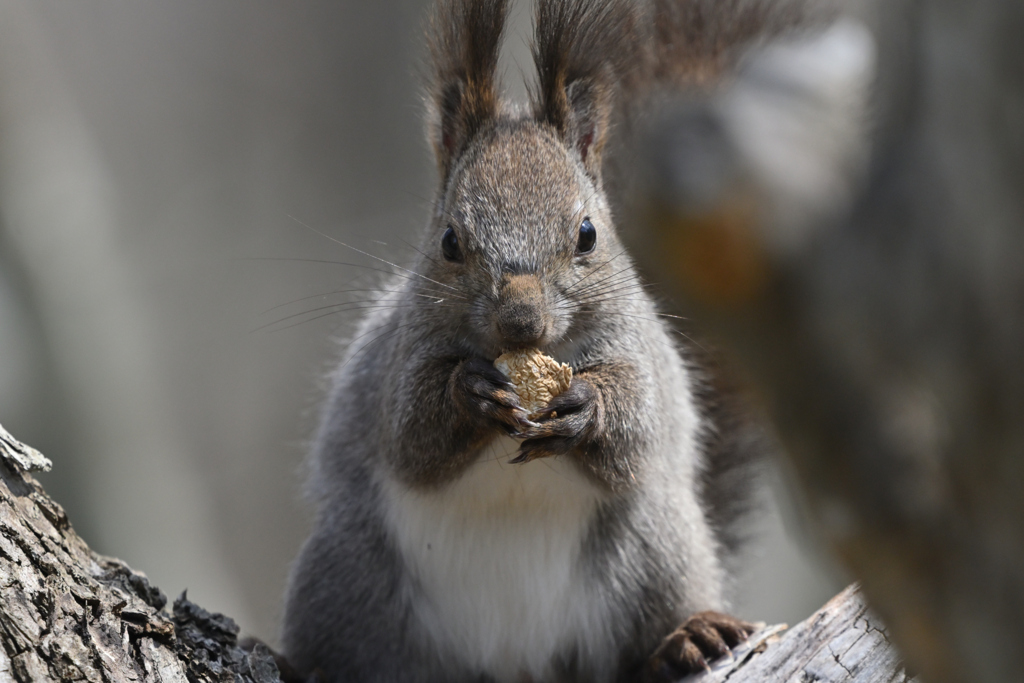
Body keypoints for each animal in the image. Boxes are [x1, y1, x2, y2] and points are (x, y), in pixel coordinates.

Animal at [282, 1, 798, 683]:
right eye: (449, 241)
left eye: (588, 234)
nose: (521, 322)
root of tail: (515, 659)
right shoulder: (396, 358)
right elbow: (409, 433)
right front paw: (468, 392)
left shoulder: (640, 352)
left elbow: (637, 425)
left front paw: (586, 406)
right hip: (348, 573)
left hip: (656, 550)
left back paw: (688, 635)